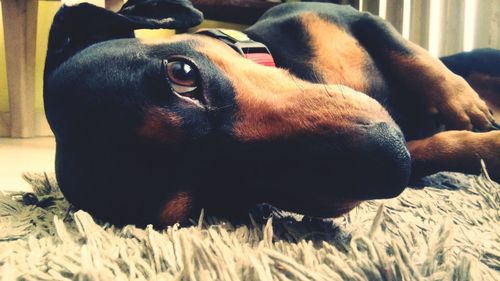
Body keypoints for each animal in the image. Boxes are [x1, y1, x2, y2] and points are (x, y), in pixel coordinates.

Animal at [45, 0, 498, 226]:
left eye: (181, 72)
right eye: (214, 200)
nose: (392, 161)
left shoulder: (354, 17)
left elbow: (413, 55)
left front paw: (467, 108)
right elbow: (441, 148)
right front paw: (487, 147)